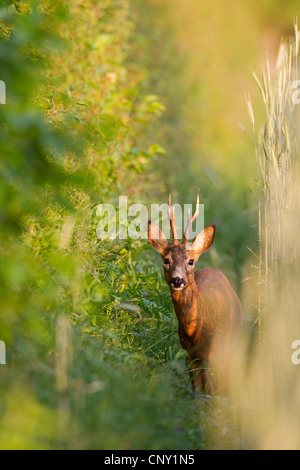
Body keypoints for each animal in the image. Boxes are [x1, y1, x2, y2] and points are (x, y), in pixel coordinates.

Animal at [148, 195, 244, 396]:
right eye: (166, 260)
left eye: (190, 261)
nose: (177, 280)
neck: (196, 330)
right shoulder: (189, 355)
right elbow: (197, 394)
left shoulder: (213, 354)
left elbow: (211, 391)